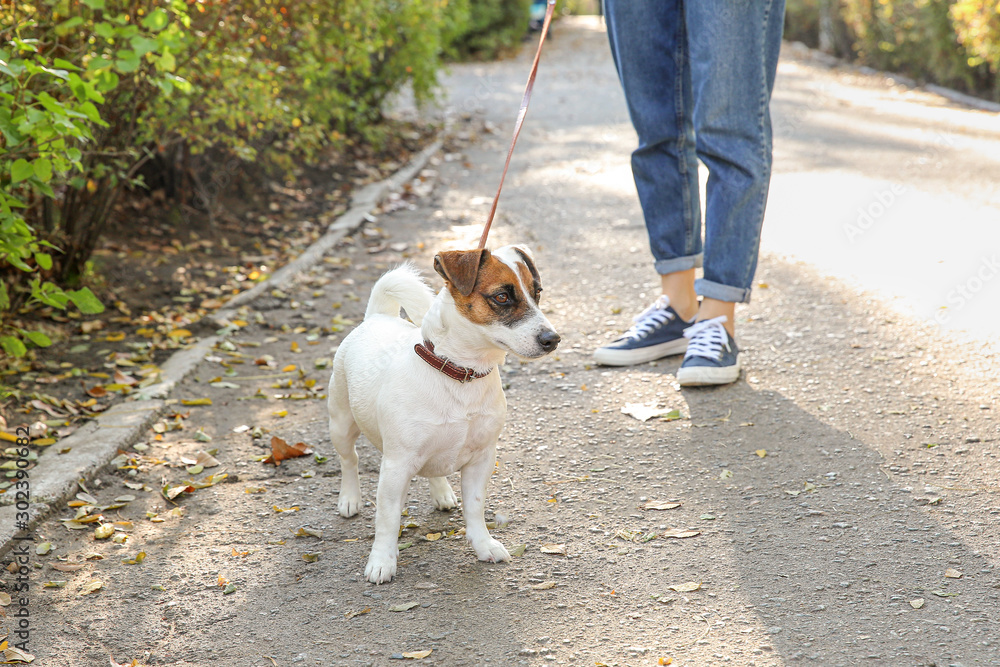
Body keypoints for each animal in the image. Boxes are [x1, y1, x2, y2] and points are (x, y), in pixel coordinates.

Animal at [330, 245, 560, 584]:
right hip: (342, 425)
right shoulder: (396, 466)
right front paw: (382, 561)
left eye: (537, 292)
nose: (552, 339)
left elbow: (475, 509)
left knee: (432, 469)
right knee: (350, 461)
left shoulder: (482, 459)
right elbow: (387, 519)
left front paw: (483, 545)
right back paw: (349, 498)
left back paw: (441, 493)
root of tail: (377, 317)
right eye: (502, 297)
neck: (460, 373)